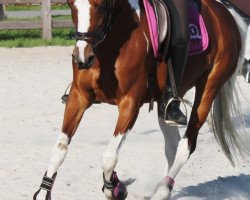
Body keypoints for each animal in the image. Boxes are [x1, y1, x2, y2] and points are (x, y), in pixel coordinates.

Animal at [33, 0, 246, 198]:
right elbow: (59, 149)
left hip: (208, 90)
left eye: (100, 6)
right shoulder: (78, 98)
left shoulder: (130, 104)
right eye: (71, 5)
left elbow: (109, 157)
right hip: (168, 99)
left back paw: (162, 191)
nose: (82, 58)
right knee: (172, 145)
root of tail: (225, 14)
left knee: (186, 146)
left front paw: (115, 188)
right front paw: (44, 192)